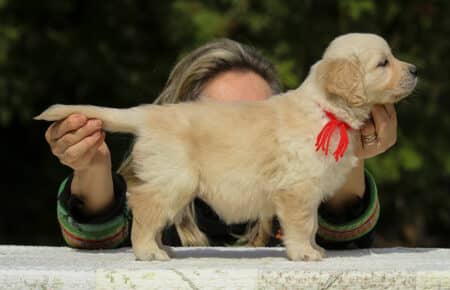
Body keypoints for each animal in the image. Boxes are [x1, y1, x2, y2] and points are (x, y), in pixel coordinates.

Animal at [36, 33, 418, 260]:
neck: (326, 109)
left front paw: (312, 248)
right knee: (144, 212)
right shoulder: (297, 189)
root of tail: (147, 114)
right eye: (383, 63)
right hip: (172, 180)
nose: (415, 70)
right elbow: (301, 223)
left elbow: (310, 225)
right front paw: (305, 253)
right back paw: (150, 253)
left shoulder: (308, 189)